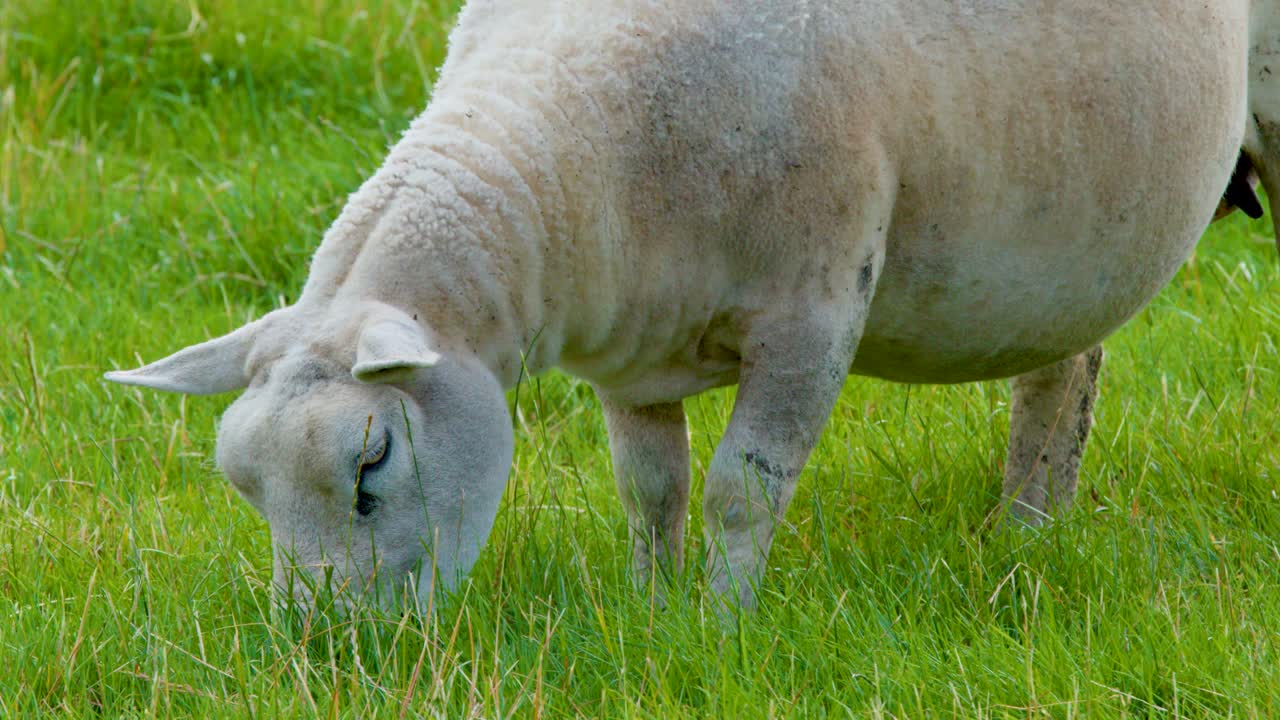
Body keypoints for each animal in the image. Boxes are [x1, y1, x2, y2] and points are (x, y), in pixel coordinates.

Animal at [107, 0, 1275, 611]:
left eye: (370, 465)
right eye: (247, 491)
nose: (325, 651)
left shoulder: (814, 313)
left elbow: (739, 492)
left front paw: (724, 624)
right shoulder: (627, 347)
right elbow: (652, 489)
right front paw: (650, 607)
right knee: (1064, 371)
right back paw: (1029, 534)